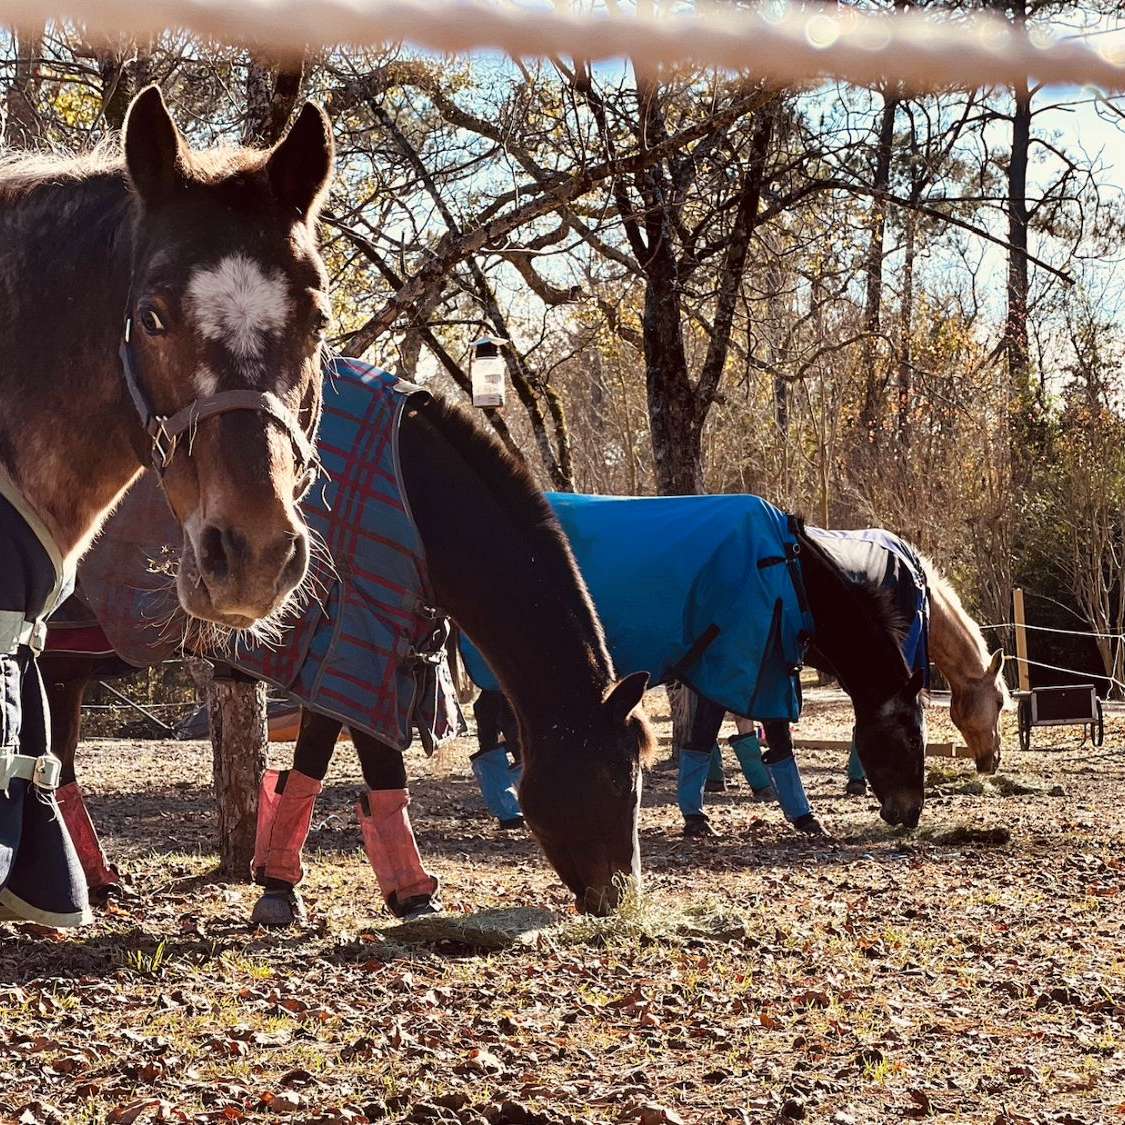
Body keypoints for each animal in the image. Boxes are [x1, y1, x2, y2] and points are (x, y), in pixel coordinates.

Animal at [43, 360, 656, 921]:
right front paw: (395, 894)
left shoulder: (346, 656)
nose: (617, 897)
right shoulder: (357, 645)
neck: (418, 500)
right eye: (613, 779)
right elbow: (372, 767)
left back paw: (95, 881)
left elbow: (326, 768)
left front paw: (301, 885)